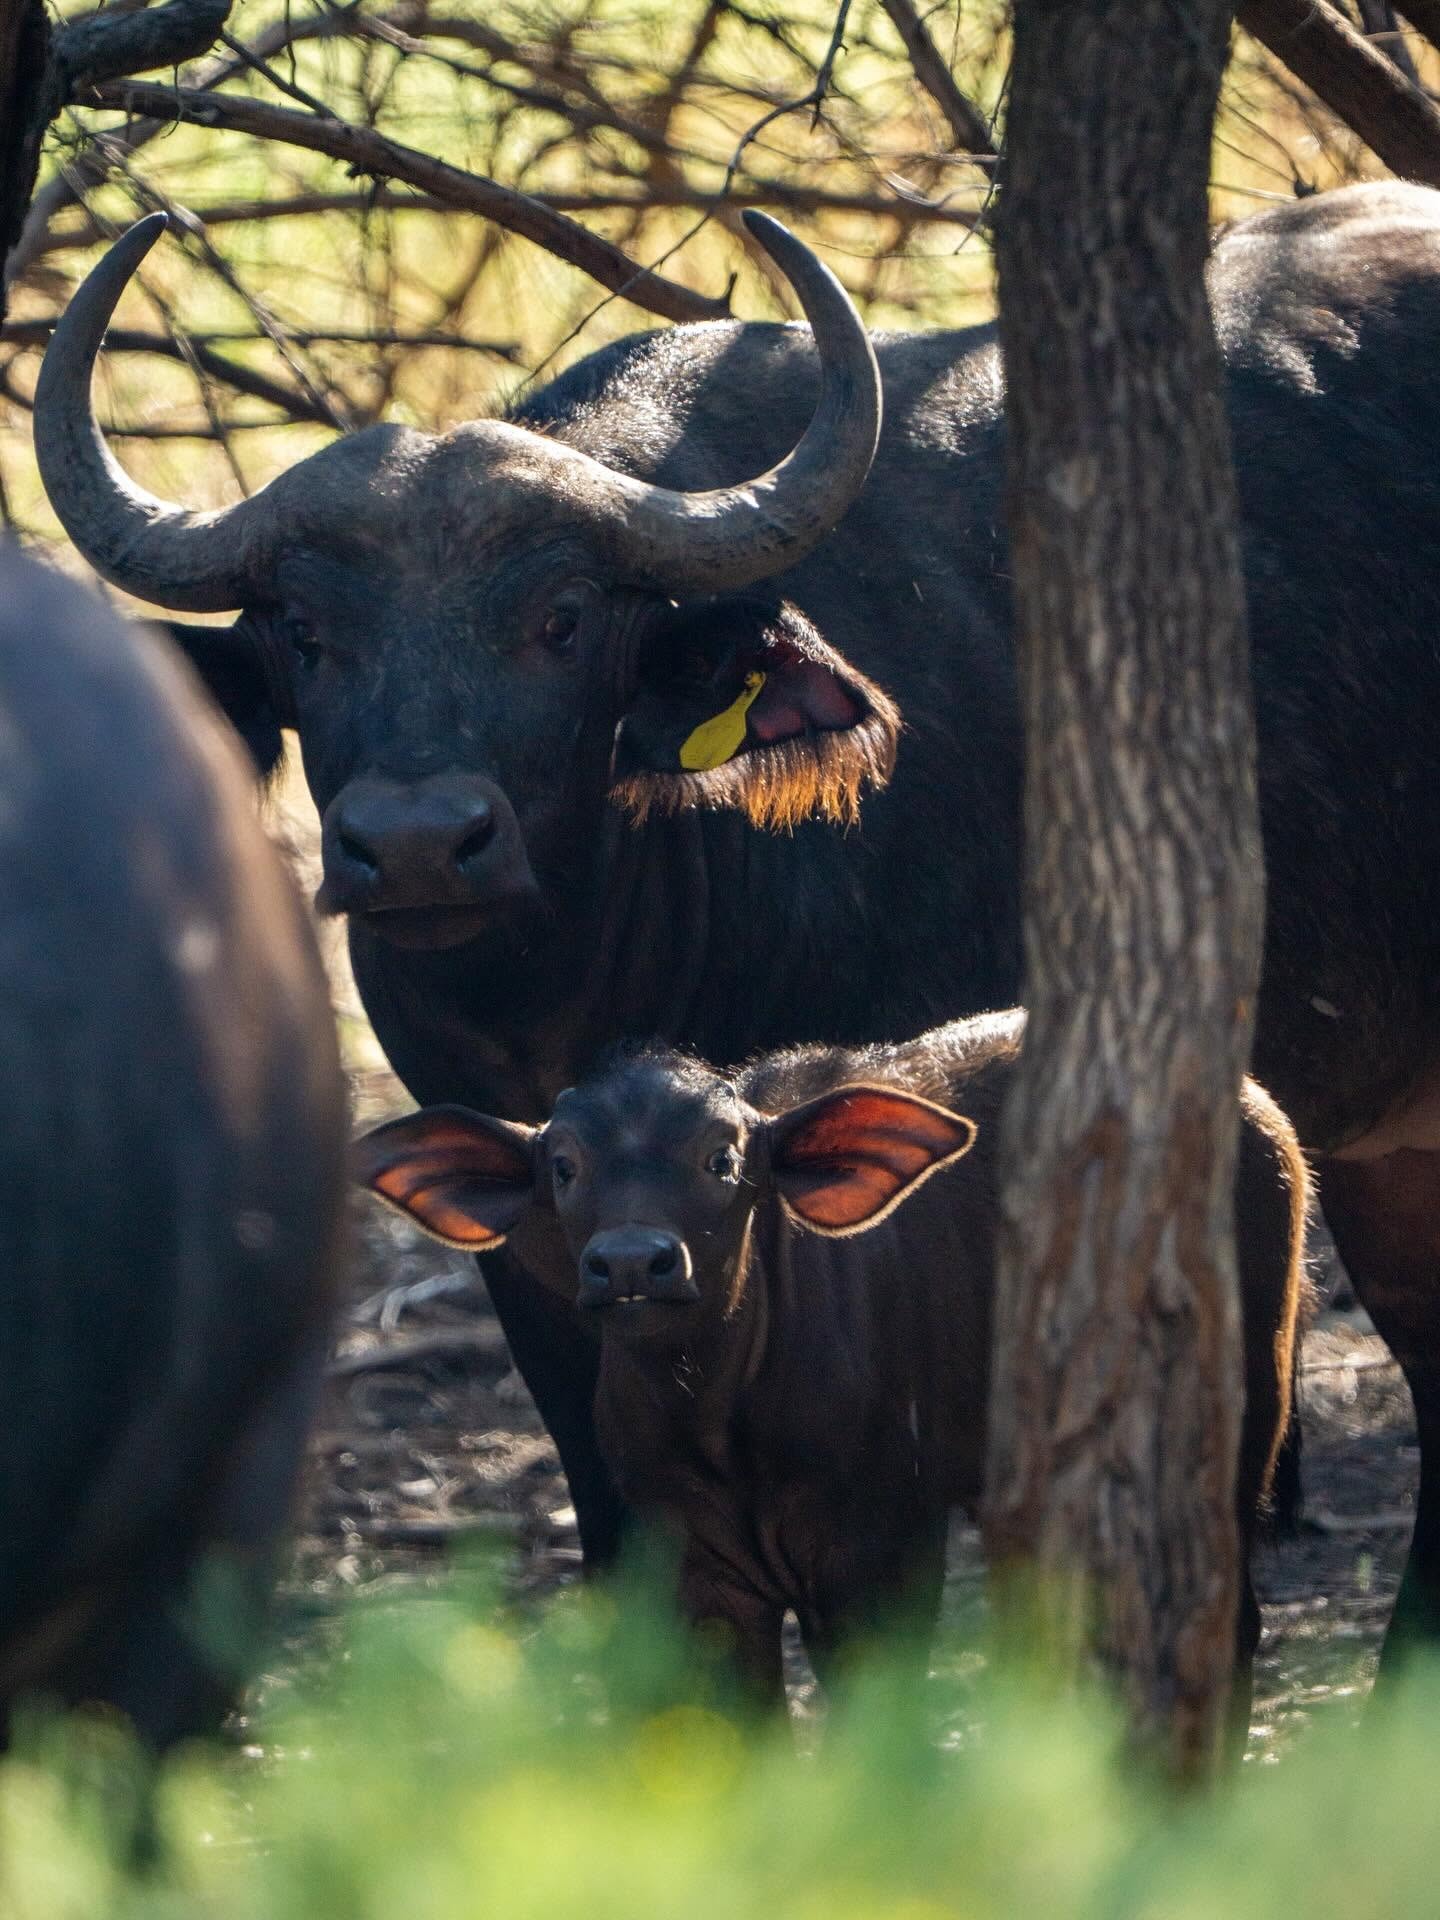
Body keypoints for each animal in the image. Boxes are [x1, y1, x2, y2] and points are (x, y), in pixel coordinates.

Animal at [355, 1012, 1306, 1726]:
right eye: (563, 1166)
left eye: (722, 1159)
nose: (631, 1264)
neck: (720, 1425)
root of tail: (1262, 1113)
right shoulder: (693, 1571)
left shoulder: (879, 1550)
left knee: (1223, 1621)